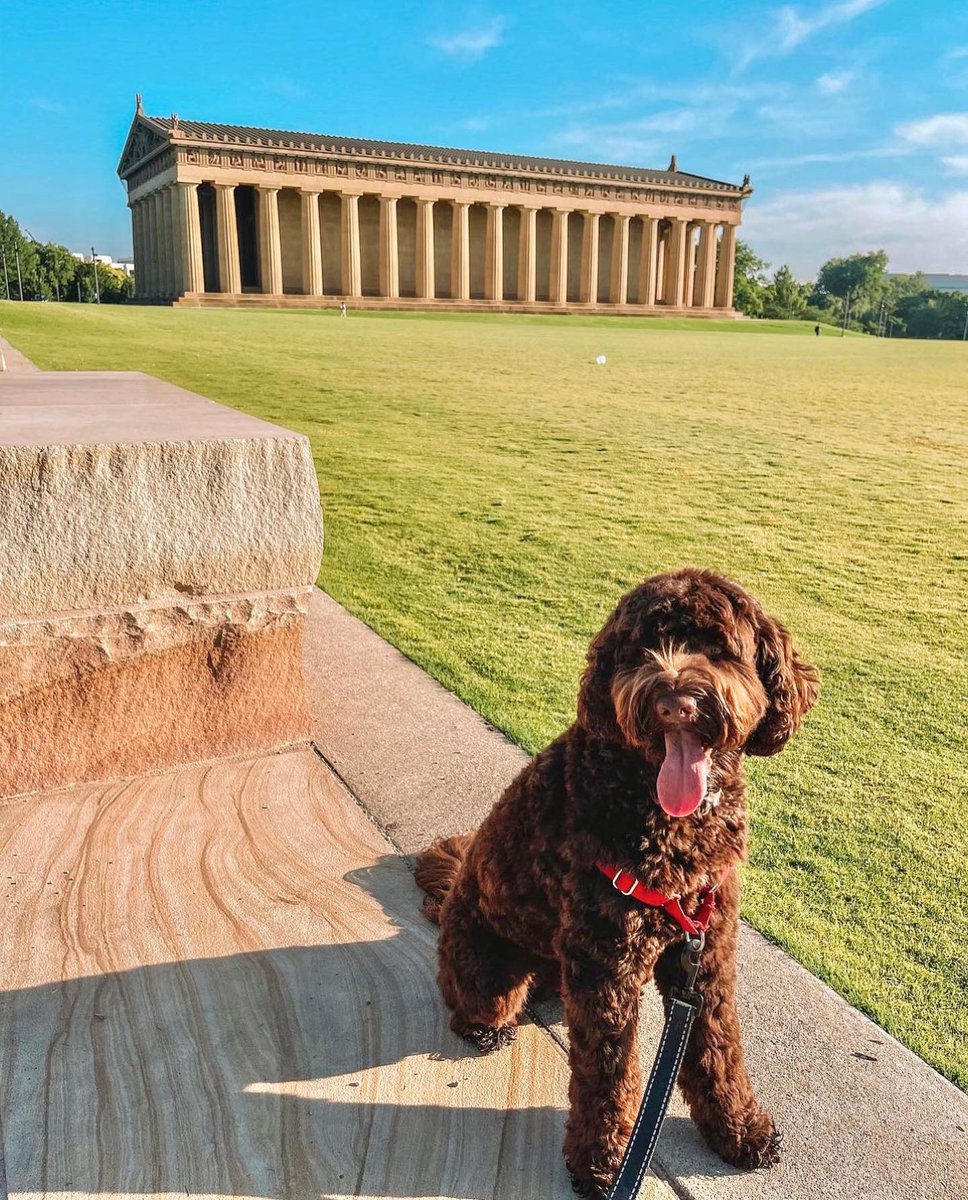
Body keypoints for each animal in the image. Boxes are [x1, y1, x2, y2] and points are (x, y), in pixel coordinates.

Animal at [415, 566, 815, 1195]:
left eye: (717, 646)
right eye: (640, 650)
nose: (675, 703)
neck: (667, 818)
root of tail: (453, 890)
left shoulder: (707, 947)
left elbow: (718, 1044)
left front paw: (739, 1129)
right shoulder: (605, 960)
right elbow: (608, 1074)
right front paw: (605, 1160)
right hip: (493, 973)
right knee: (475, 1003)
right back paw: (484, 1028)